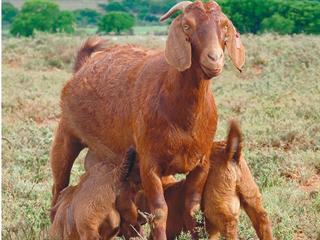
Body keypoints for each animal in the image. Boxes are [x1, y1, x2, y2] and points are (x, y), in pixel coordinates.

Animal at [50, 0, 245, 238]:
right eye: (187, 26)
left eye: (225, 25)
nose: (214, 58)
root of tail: (82, 67)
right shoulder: (150, 166)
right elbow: (159, 211)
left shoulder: (201, 164)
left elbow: (192, 209)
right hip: (66, 137)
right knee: (59, 188)